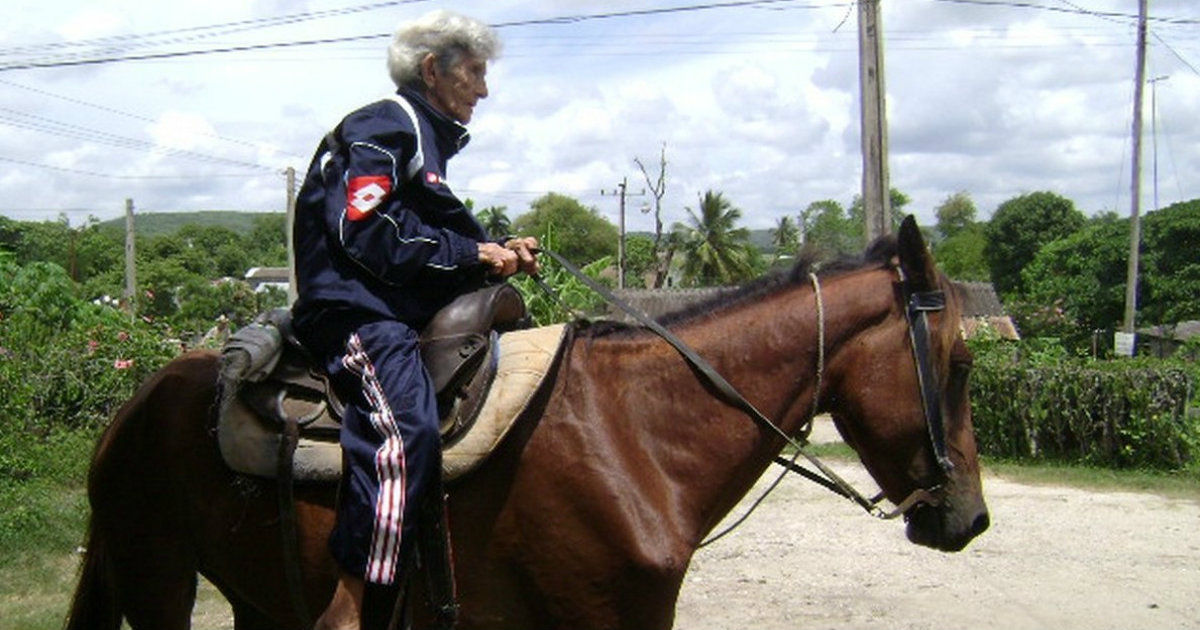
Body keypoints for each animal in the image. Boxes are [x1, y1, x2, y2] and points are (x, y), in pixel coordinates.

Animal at [63, 217, 984, 628]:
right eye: (963, 366)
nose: (970, 521)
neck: (635, 439)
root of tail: (134, 406)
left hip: (258, 594)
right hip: (158, 578)